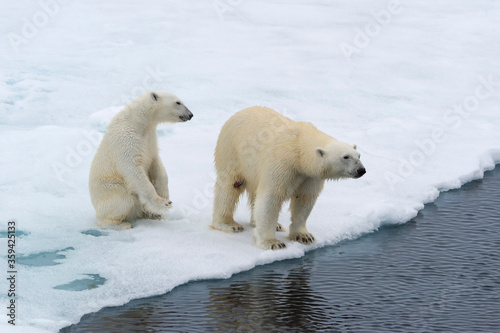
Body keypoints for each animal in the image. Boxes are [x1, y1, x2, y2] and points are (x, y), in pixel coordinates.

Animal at [89, 92, 192, 230]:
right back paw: (122, 224)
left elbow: (155, 162)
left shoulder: (150, 138)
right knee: (124, 200)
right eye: (178, 102)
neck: (138, 121)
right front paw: (164, 203)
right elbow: (134, 169)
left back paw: (152, 215)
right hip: (111, 189)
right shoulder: (126, 140)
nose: (190, 114)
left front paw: (164, 194)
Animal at [212, 106, 368, 249]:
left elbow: (305, 199)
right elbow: (270, 197)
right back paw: (229, 224)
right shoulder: (282, 163)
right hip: (233, 152)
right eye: (345, 157)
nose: (361, 170)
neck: (299, 149)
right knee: (230, 187)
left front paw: (304, 236)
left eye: (359, 155)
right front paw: (272, 242)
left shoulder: (310, 176)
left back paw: (274, 225)